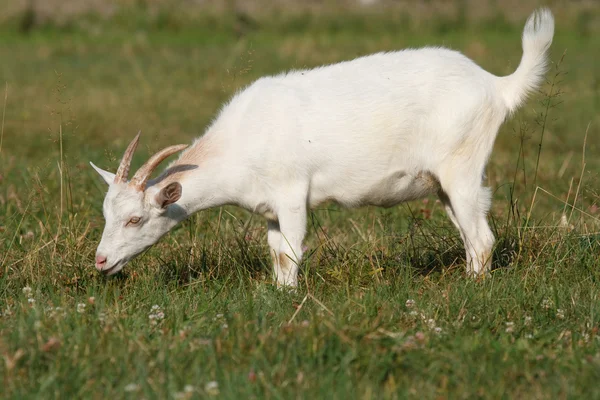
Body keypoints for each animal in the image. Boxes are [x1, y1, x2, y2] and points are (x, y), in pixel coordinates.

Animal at [91, 8, 556, 284]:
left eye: (135, 219)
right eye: (106, 214)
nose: (100, 261)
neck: (240, 142)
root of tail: (497, 86)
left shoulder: (292, 193)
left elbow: (292, 253)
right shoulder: (269, 209)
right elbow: (277, 255)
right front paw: (276, 295)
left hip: (462, 166)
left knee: (482, 238)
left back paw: (472, 291)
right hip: (443, 184)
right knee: (470, 234)